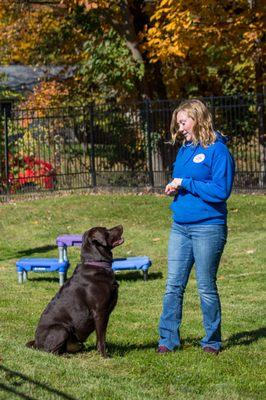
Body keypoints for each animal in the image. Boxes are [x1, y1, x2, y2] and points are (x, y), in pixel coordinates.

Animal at [26, 223, 123, 358]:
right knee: (51, 351)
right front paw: (104, 356)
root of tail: (36, 343)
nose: (121, 225)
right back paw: (65, 356)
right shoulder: (99, 312)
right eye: (106, 230)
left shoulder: (104, 314)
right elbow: (102, 338)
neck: (97, 264)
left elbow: (99, 338)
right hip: (61, 329)